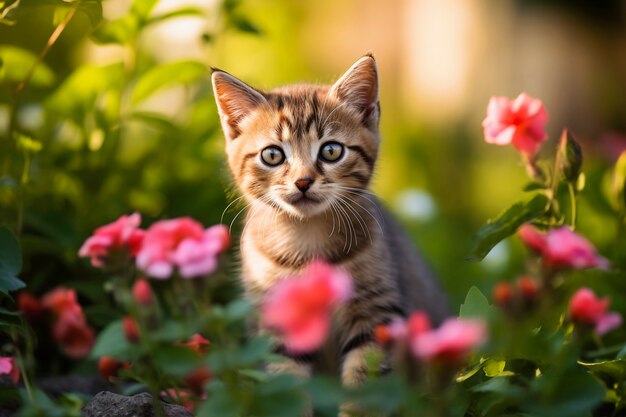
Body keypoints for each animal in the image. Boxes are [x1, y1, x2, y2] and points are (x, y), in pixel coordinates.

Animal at [212, 54, 446, 384]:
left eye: (331, 151)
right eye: (272, 155)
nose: (303, 181)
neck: (307, 239)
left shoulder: (377, 314)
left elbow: (366, 380)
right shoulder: (277, 321)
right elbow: (284, 379)